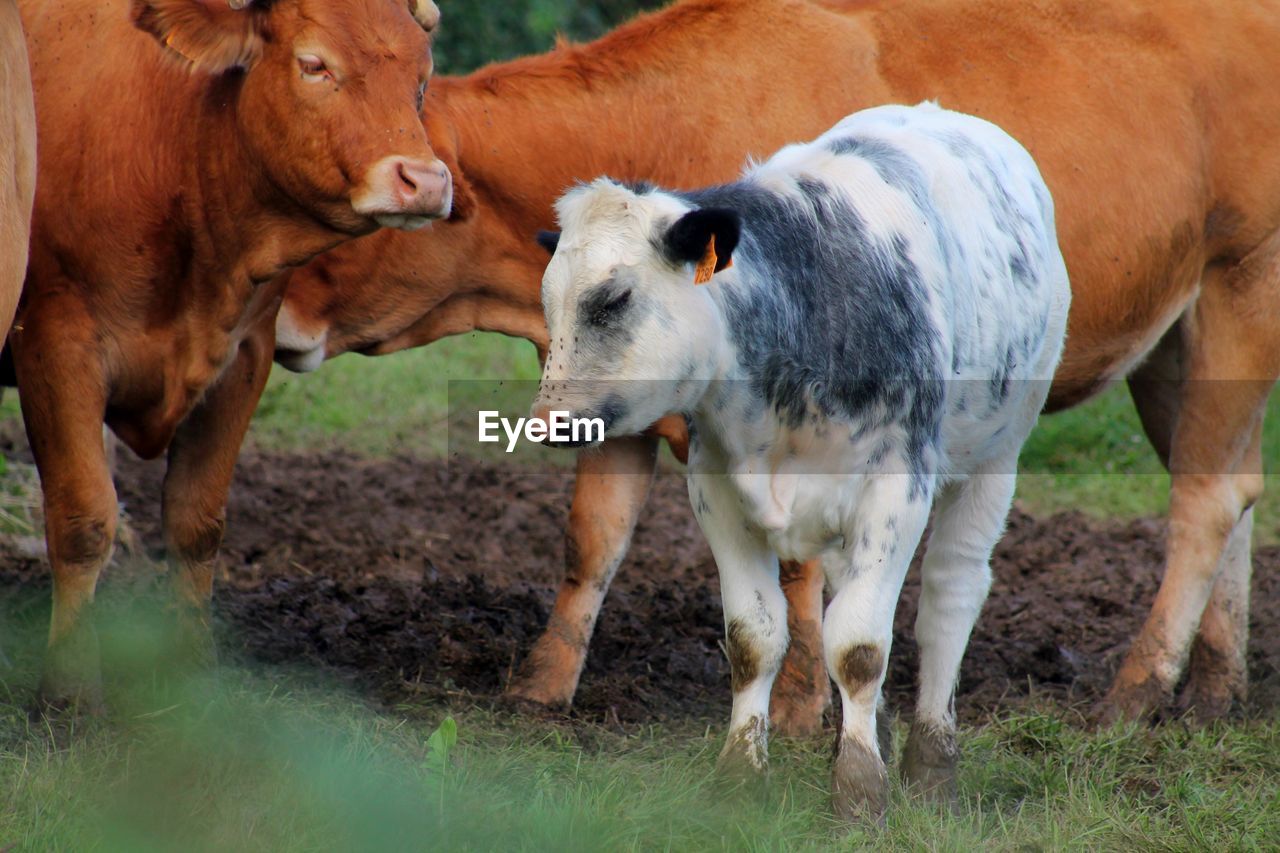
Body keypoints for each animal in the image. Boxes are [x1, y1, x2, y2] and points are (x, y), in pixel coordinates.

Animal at [12, 0, 455, 706]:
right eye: (314, 65)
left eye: (421, 80)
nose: (426, 181)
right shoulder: (57, 345)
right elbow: (83, 518)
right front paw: (70, 685)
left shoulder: (242, 355)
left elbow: (197, 522)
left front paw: (194, 666)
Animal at [275, 0, 1274, 742]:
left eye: (347, 215)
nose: (273, 320)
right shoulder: (618, 400)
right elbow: (591, 539)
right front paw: (540, 688)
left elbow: (800, 579)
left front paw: (797, 709)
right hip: (1174, 345)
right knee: (1232, 486)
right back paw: (1215, 685)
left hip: (1239, 290)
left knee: (1206, 497)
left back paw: (1138, 688)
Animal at [529, 103, 1070, 819]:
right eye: (548, 302)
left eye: (613, 299)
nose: (547, 421)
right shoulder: (716, 493)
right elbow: (754, 639)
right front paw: (742, 774)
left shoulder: (898, 489)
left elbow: (860, 647)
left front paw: (861, 789)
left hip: (996, 457)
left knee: (949, 596)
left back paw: (931, 764)